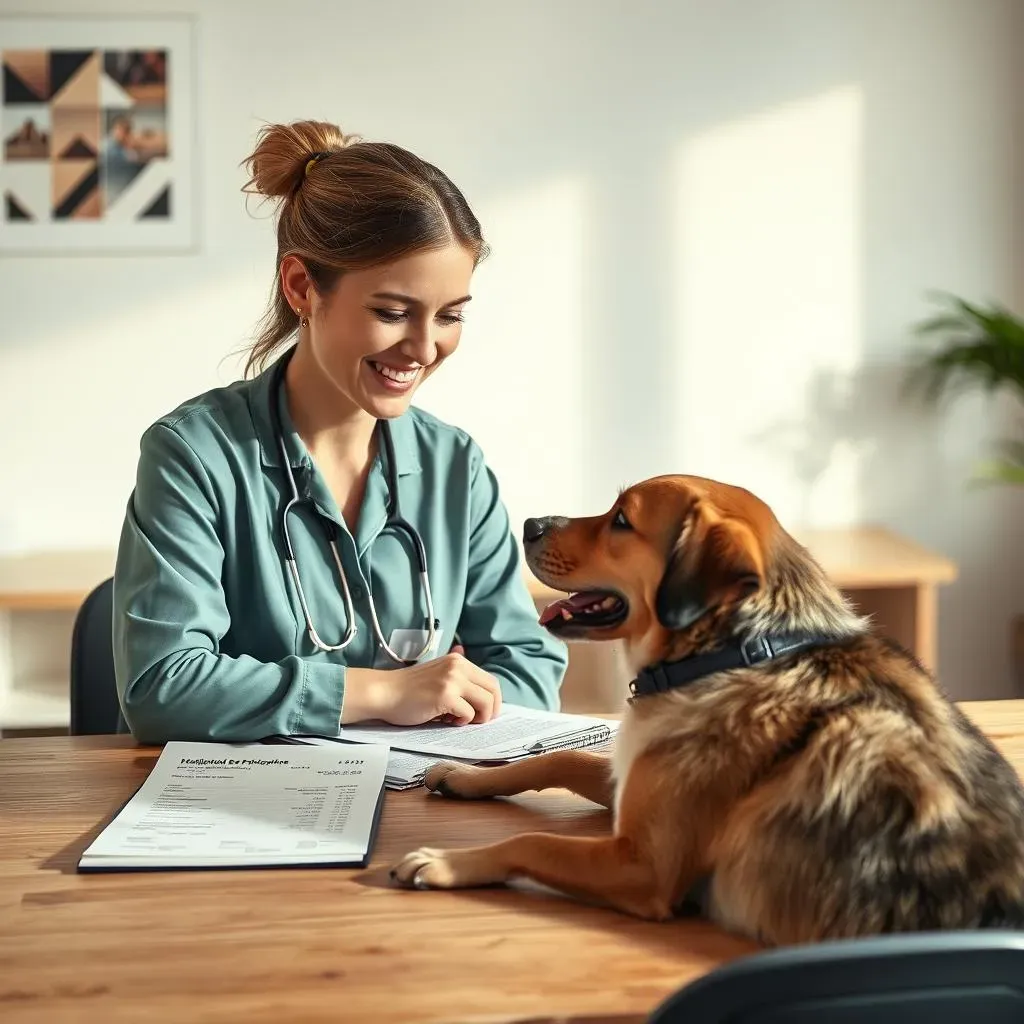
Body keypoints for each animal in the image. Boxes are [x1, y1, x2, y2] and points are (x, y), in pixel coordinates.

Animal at [389, 475, 1024, 937]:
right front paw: (466, 776)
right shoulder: (631, 788)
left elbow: (533, 841)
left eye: (622, 519)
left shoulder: (642, 866)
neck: (730, 653)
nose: (529, 524)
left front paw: (446, 862)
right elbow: (556, 759)